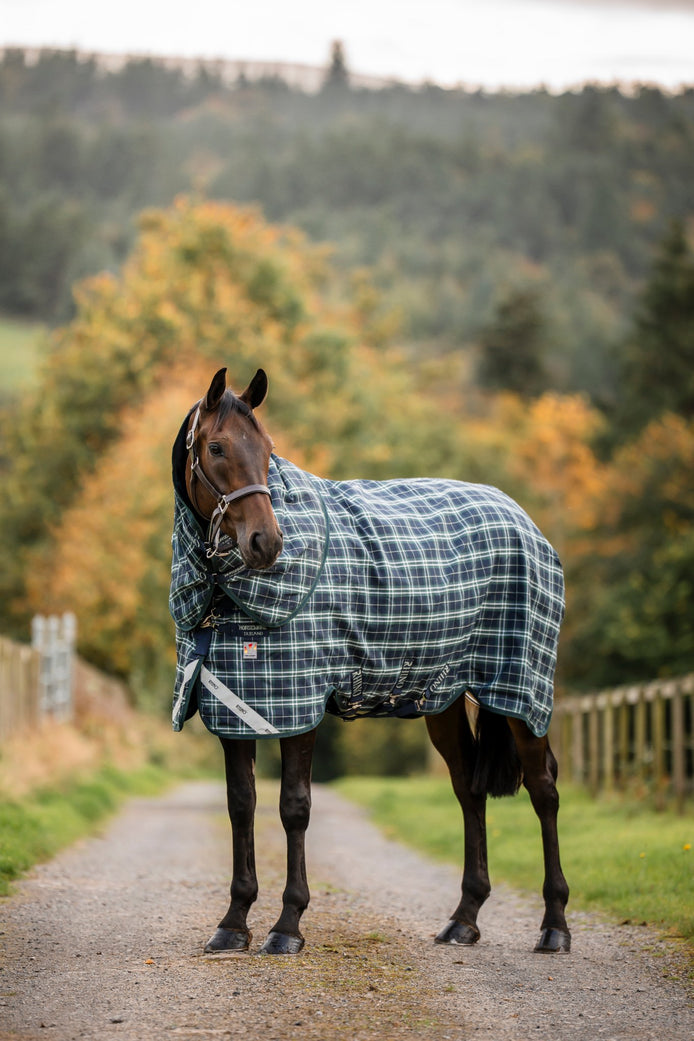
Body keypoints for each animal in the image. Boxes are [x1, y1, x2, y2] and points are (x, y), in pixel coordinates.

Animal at [169, 366, 571, 957]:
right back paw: (464, 919)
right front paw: (233, 923)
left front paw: (287, 925)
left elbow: (294, 807)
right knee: (469, 789)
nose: (266, 543)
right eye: (216, 447)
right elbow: (241, 804)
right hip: (443, 699)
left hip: (518, 689)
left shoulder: (300, 705)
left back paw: (555, 925)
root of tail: (522, 519)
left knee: (544, 790)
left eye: (268, 449)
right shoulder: (238, 706)